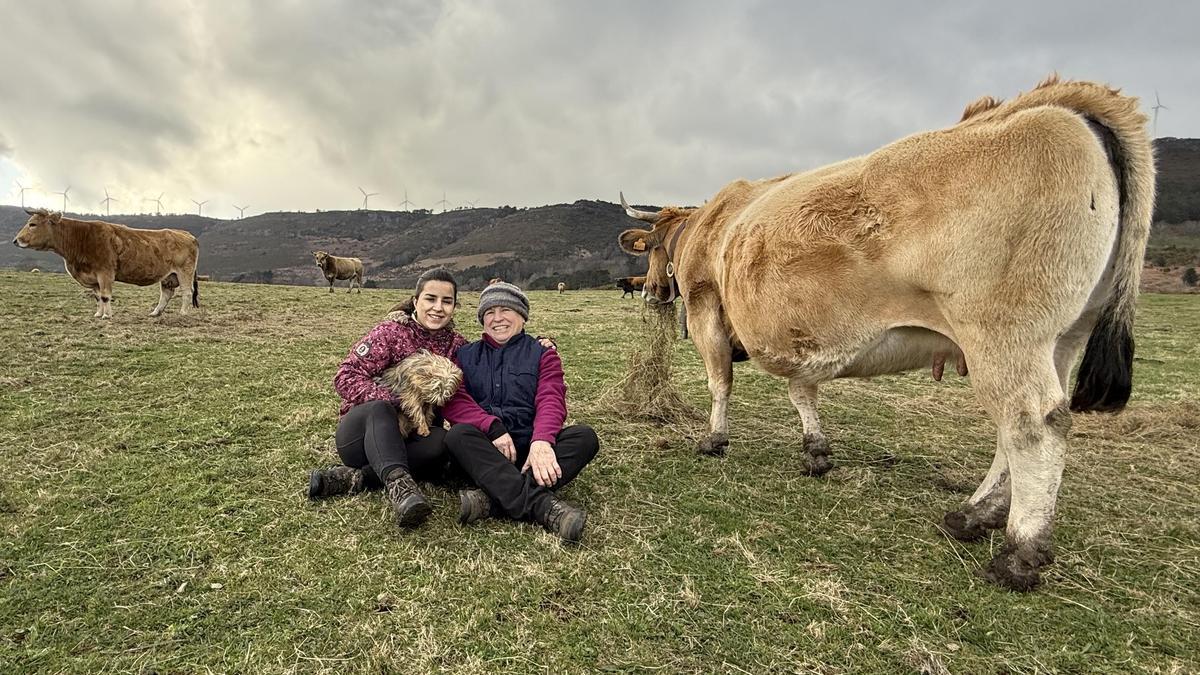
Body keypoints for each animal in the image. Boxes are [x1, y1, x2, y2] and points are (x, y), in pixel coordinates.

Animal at [12, 206, 200, 319]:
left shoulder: (105, 272)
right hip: (168, 276)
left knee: (187, 292)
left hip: (184, 272)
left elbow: (105, 295)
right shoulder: (94, 277)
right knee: (167, 293)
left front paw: (106, 316)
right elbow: (97, 297)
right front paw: (98, 314)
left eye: (33, 224)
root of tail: (186, 234)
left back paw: (183, 313)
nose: (15, 240)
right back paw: (155, 312)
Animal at [619, 76, 1152, 586]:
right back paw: (975, 514)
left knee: (1033, 425)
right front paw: (815, 451)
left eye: (654, 250)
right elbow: (802, 391)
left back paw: (1020, 550)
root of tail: (1047, 105)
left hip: (1003, 336)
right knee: (1014, 428)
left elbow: (720, 381)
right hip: (1060, 340)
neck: (708, 226)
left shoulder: (706, 305)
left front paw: (714, 440)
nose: (651, 292)